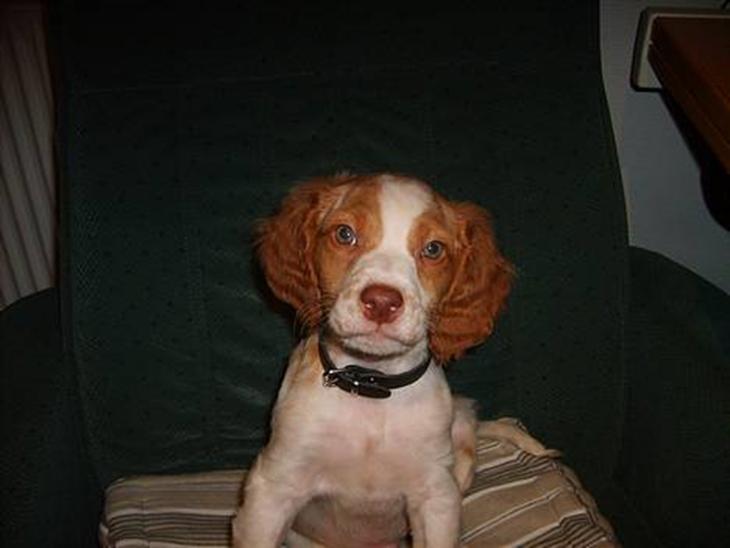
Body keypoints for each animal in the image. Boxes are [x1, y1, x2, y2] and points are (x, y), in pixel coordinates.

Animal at [232, 173, 514, 548]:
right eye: (345, 234)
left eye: (433, 249)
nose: (382, 302)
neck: (372, 384)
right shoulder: (272, 489)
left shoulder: (436, 495)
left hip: (463, 427)